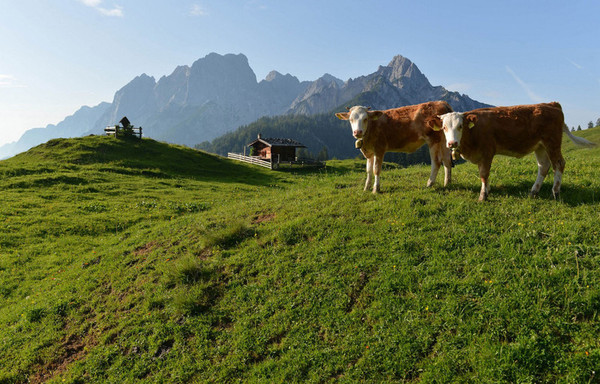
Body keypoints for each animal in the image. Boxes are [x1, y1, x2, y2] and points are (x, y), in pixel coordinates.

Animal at [426, 102, 596, 201]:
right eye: (444, 127)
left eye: (460, 126)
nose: (452, 143)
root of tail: (551, 104)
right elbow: (485, 175)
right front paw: (487, 189)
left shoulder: (487, 152)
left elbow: (484, 174)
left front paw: (483, 195)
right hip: (540, 146)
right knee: (543, 166)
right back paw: (534, 191)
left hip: (552, 142)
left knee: (559, 164)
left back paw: (555, 192)